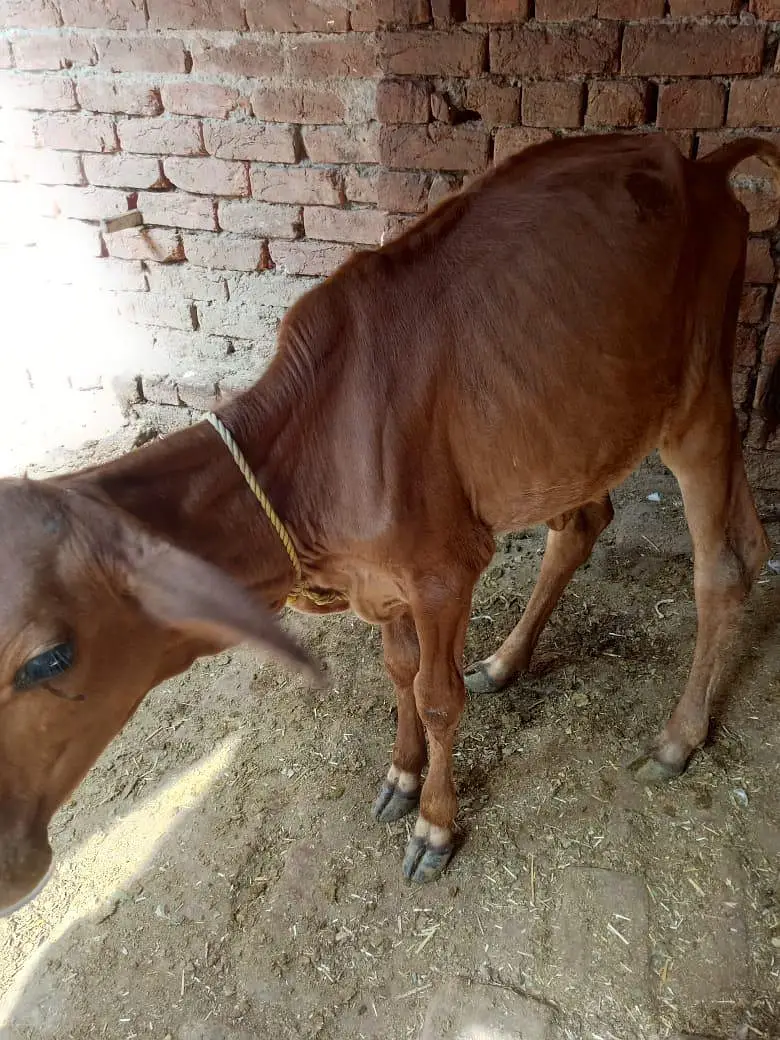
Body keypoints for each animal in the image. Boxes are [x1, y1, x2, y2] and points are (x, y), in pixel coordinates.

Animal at [0, 132, 775, 915]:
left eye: (49, 659)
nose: (10, 862)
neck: (313, 458)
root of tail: (701, 165)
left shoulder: (444, 572)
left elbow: (437, 696)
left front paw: (435, 825)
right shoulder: (382, 577)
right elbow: (399, 671)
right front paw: (402, 777)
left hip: (698, 397)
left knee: (727, 562)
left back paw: (677, 738)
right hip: (578, 424)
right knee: (603, 524)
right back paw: (506, 661)